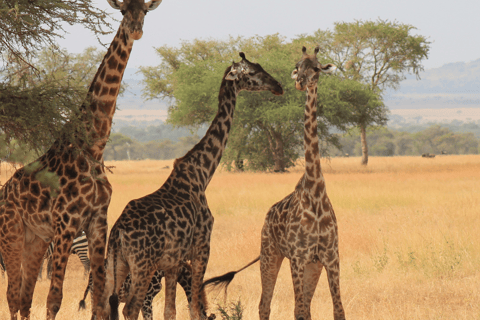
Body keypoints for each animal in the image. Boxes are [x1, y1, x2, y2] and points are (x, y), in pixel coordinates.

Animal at [0, 1, 163, 318]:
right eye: (123, 11)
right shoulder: (66, 222)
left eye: (146, 11)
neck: (93, 149)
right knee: (12, 295)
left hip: (35, 240)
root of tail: (3, 192)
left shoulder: (98, 222)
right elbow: (54, 298)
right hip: (11, 234)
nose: (136, 30)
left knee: (24, 297)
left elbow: (100, 299)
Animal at [96, 53, 284, 320]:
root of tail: (118, 232)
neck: (202, 174)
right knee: (130, 307)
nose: (278, 86)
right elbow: (195, 307)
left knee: (102, 306)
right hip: (142, 264)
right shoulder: (201, 246)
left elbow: (171, 310)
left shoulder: (173, 261)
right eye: (252, 72)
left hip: (118, 263)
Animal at [202, 45, 344, 320]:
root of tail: (267, 216)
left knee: (302, 305)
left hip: (312, 265)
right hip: (270, 253)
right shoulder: (298, 257)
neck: (316, 191)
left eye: (316, 67)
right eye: (297, 66)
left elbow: (337, 310)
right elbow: (300, 311)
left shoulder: (331, 257)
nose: (300, 82)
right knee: (265, 304)